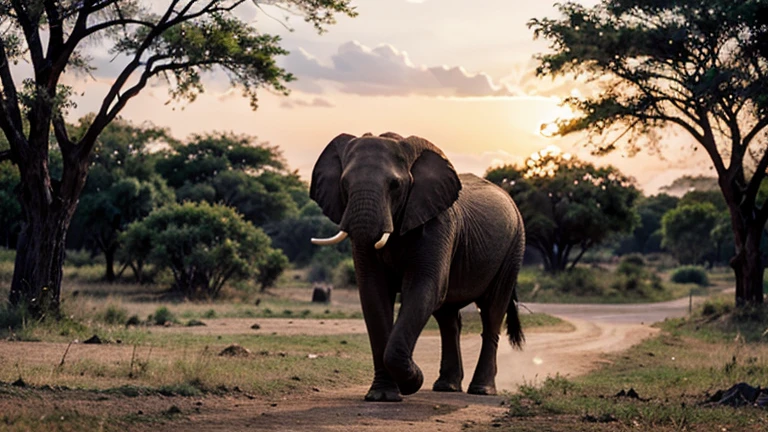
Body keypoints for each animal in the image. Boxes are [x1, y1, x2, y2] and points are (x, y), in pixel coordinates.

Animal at [308, 133, 524, 404]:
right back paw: (446, 387)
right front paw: (382, 396)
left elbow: (424, 286)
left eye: (395, 185)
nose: (416, 375)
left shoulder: (438, 223)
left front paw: (412, 382)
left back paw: (481, 390)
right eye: (344, 183)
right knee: (448, 318)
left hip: (514, 247)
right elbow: (373, 290)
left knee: (492, 312)